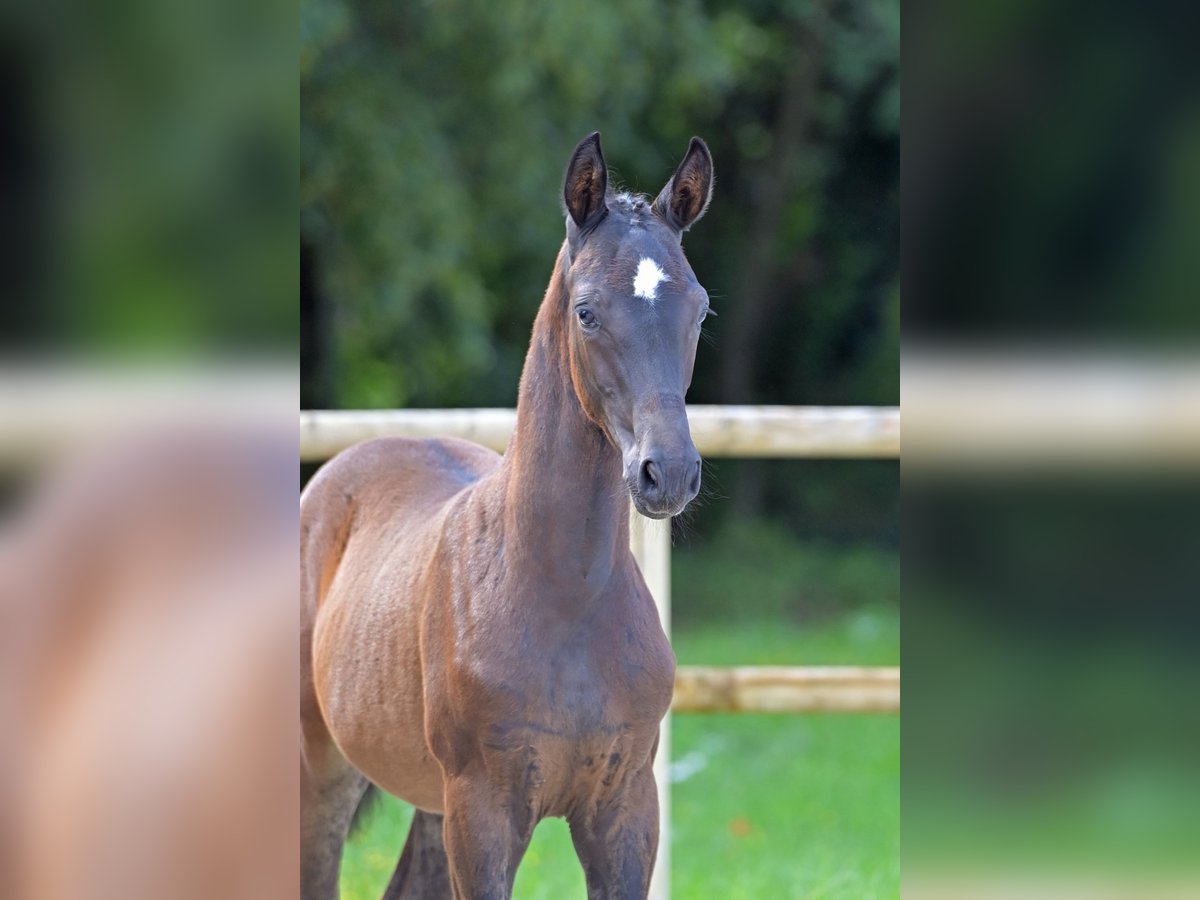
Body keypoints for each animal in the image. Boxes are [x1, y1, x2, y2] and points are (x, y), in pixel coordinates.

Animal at [302, 130, 710, 897]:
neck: (565, 594)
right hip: (323, 771)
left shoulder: (625, 810)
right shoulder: (483, 813)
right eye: (586, 310)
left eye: (699, 310)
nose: (667, 472)